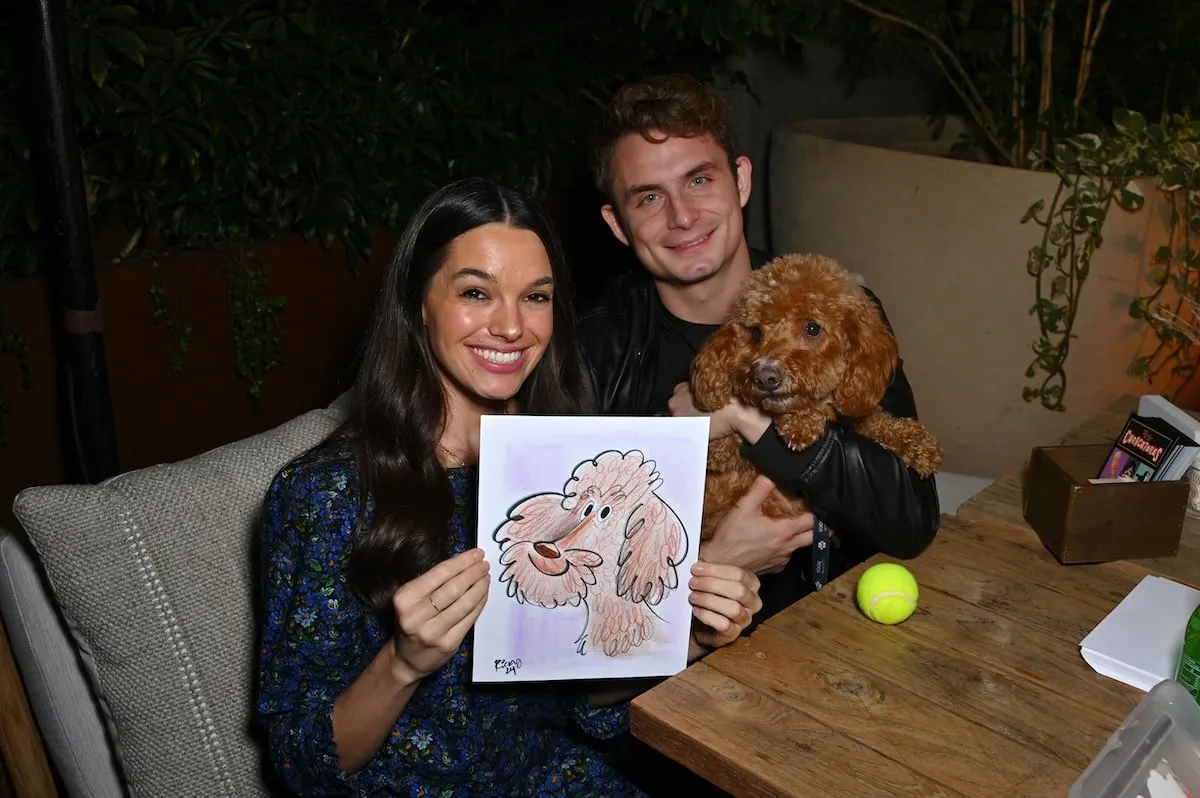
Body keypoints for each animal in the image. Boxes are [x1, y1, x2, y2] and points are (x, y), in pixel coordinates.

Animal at [691, 253, 940, 542]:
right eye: (755, 333)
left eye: (812, 328)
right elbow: (728, 444)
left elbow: (877, 420)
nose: (765, 377)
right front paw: (801, 422)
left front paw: (919, 443)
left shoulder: (855, 408)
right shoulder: (725, 456)